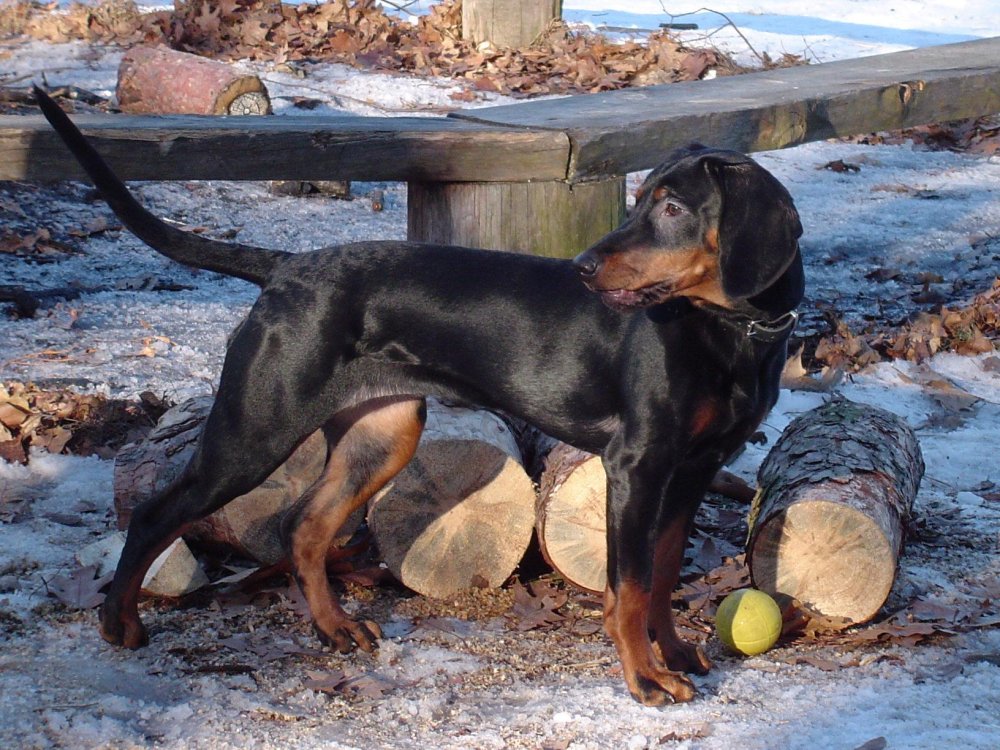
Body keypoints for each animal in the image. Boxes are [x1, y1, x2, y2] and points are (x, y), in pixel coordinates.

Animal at [37, 88, 804, 712]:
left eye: (673, 208)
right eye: (643, 199)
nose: (585, 268)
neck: (732, 335)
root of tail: (284, 270)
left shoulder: (694, 467)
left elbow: (666, 570)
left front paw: (674, 656)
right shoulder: (636, 464)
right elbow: (633, 584)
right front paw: (644, 680)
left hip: (382, 432)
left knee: (305, 528)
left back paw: (335, 627)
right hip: (256, 429)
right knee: (159, 511)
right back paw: (119, 623)